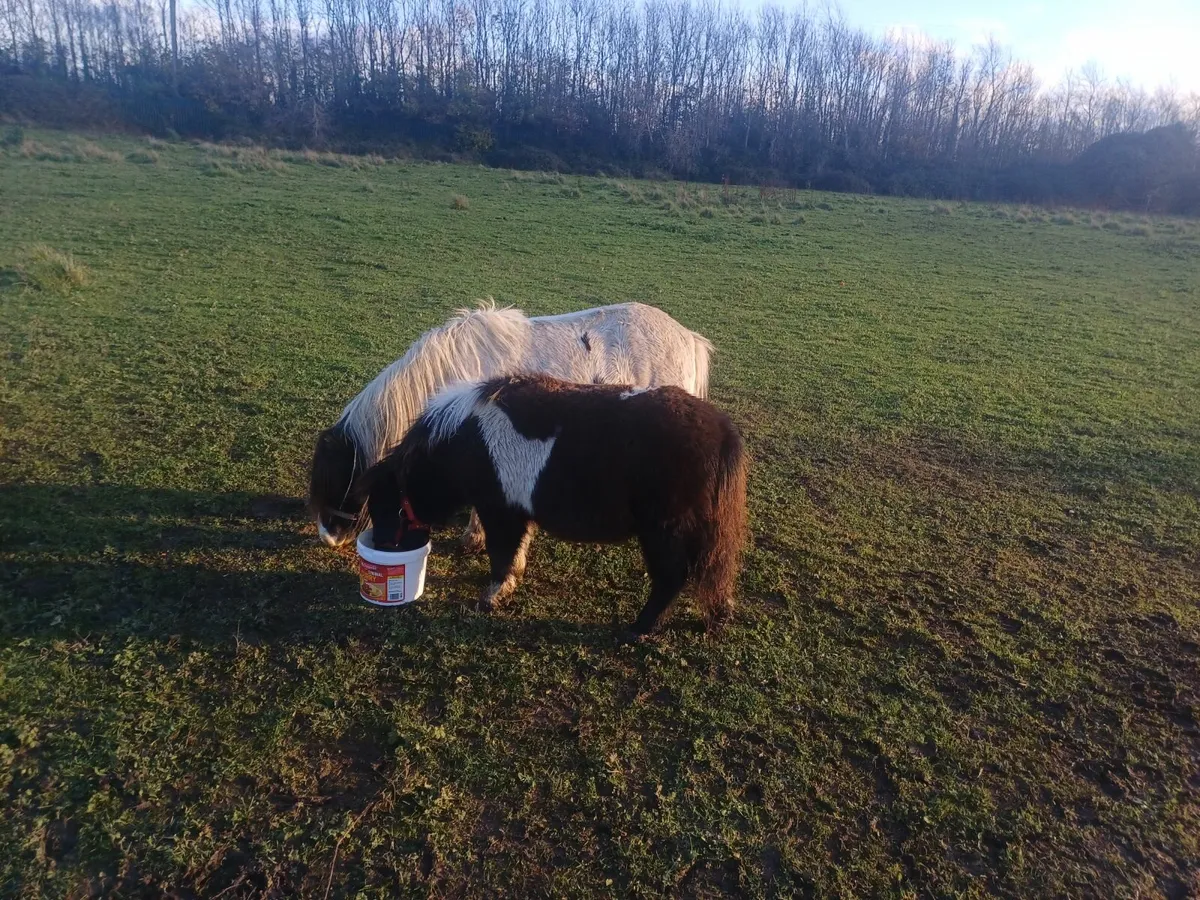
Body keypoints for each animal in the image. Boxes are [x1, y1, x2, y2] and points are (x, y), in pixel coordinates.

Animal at [360, 373, 748, 638]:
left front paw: (493, 596)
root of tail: (721, 429)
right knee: (713, 571)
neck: (465, 440)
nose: (381, 545)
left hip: (664, 531)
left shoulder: (501, 511)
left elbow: (501, 553)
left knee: (673, 576)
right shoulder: (515, 512)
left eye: (384, 502)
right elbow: (515, 551)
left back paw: (640, 627)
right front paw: (509, 582)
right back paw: (716, 616)